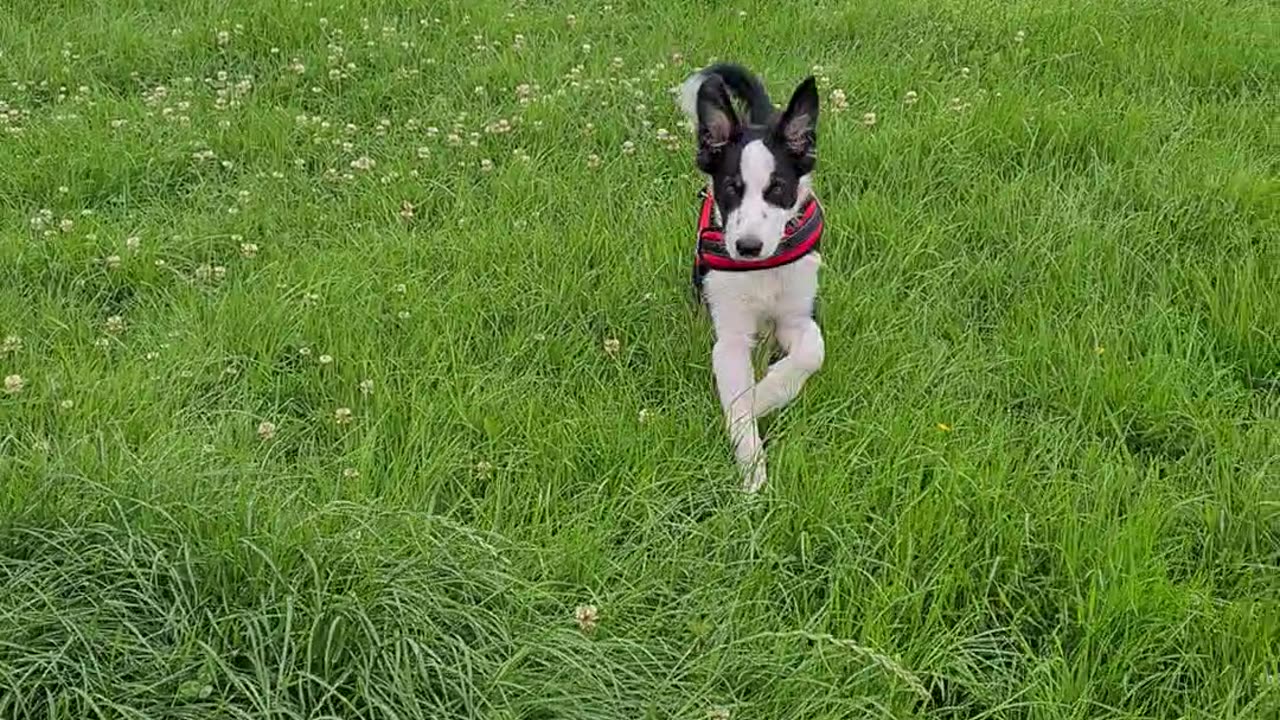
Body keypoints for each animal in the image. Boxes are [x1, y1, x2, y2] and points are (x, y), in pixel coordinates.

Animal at [675, 64, 824, 489]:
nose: (747, 246)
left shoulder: (797, 316)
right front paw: (753, 472)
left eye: (777, 188)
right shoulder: (731, 338)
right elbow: (737, 401)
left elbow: (812, 352)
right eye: (731, 188)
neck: (761, 271)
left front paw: (766, 393)